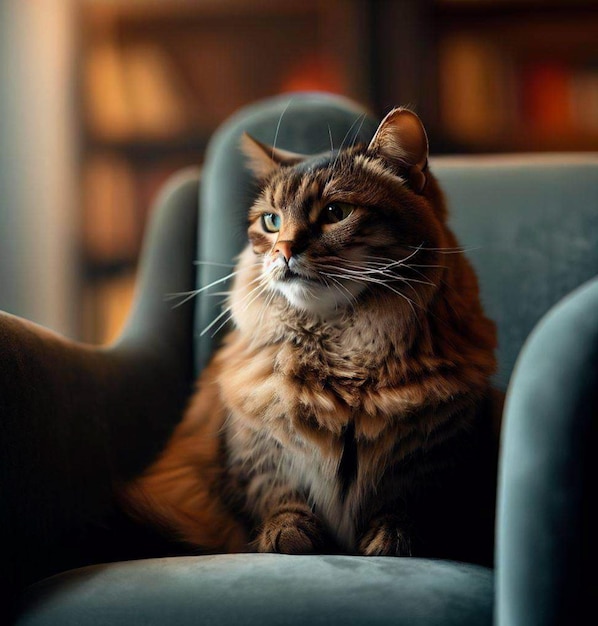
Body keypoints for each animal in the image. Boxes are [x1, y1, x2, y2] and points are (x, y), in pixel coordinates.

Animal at [124, 107, 504, 564]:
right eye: (271, 221)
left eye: (336, 212)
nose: (283, 251)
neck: (342, 356)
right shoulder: (257, 457)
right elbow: (278, 495)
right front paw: (287, 534)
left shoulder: (436, 461)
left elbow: (407, 504)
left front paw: (394, 540)